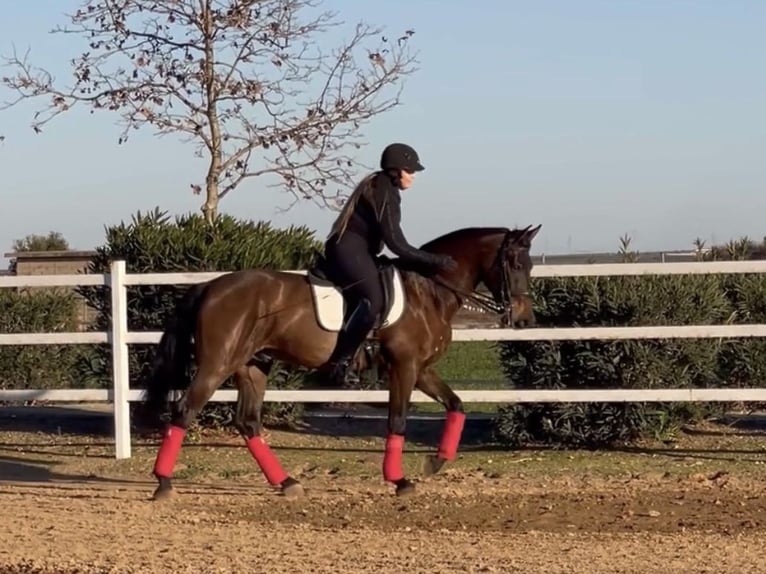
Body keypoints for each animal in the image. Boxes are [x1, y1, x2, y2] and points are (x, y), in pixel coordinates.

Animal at [142, 223, 542, 499]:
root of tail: (209, 287)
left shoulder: (423, 370)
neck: (427, 291)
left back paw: (288, 483)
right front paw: (400, 480)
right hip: (217, 365)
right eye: (514, 262)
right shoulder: (404, 368)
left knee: (248, 422)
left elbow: (456, 405)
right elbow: (397, 421)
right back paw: (164, 483)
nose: (524, 319)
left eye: (530, 265)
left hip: (253, 366)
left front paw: (436, 461)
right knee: (184, 411)